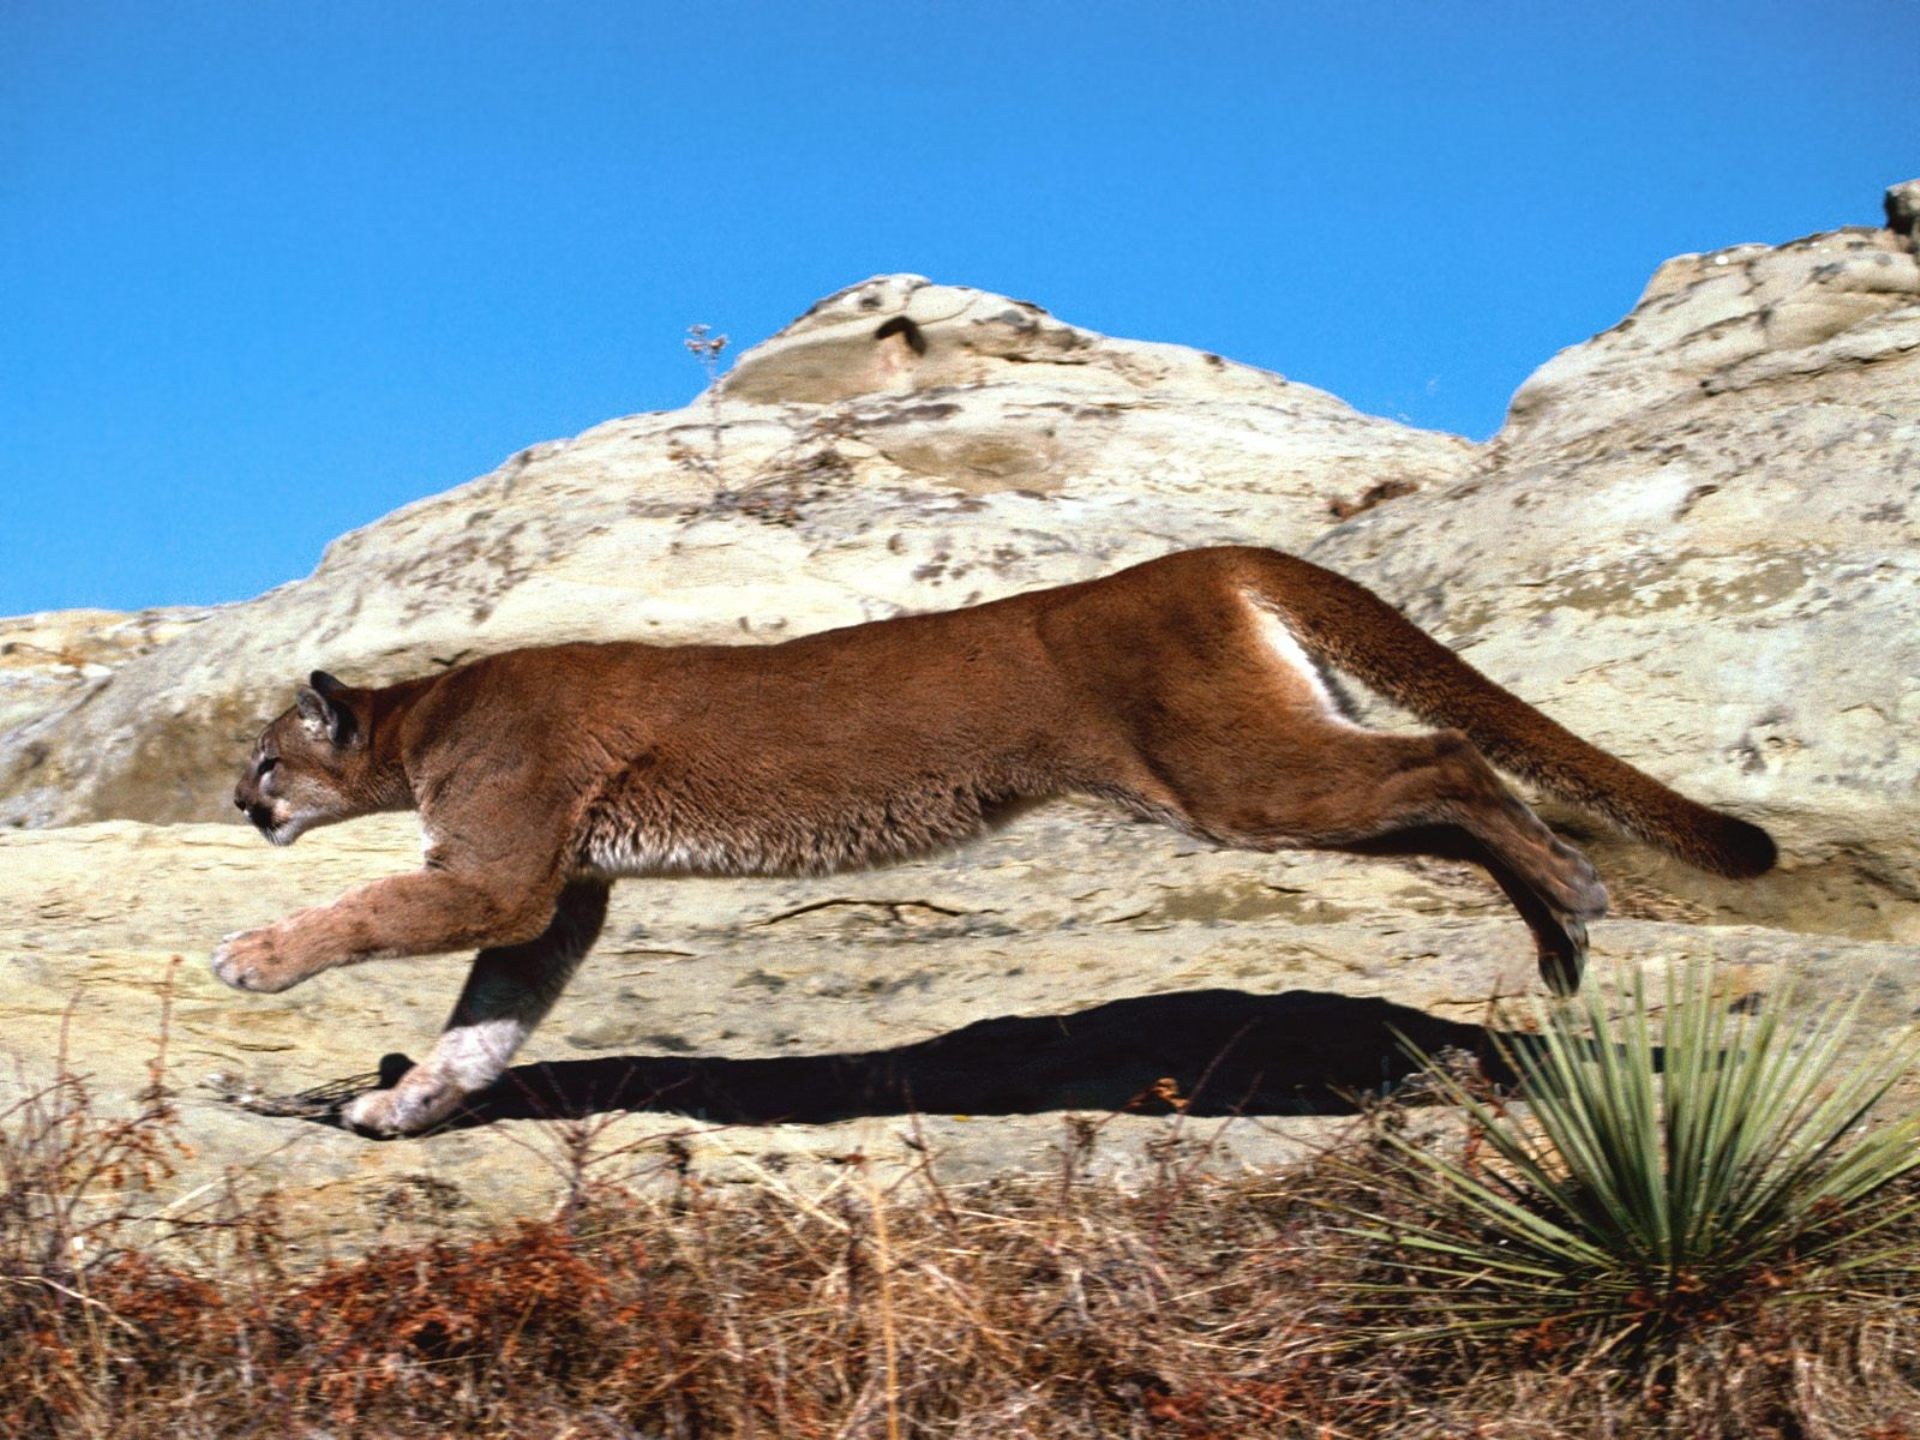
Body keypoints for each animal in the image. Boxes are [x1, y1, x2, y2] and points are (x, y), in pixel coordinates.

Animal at [214, 549, 1766, 1136]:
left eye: (266, 759)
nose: (239, 806)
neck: (430, 709)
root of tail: (1207, 556)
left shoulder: (504, 872)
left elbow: (380, 917)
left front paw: (251, 958)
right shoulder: (565, 894)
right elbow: (489, 1018)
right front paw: (403, 1110)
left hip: (1236, 781)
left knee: (1449, 758)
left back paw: (1570, 894)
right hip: (1257, 779)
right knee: (1445, 789)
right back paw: (1560, 927)